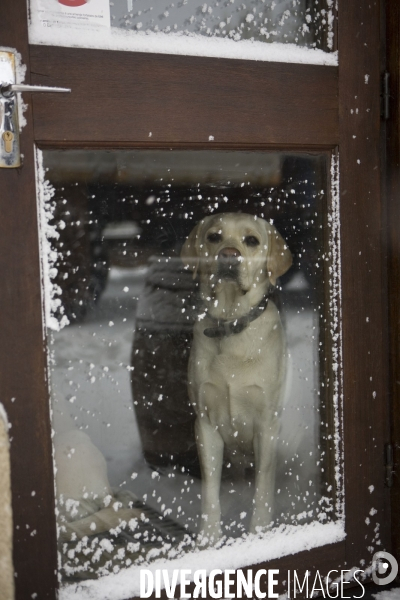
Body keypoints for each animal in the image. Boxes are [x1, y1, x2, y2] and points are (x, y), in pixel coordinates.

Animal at [180, 213, 290, 540]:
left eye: (251, 240)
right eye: (214, 236)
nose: (228, 255)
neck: (231, 325)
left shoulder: (266, 425)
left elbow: (263, 487)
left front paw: (259, 532)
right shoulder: (204, 424)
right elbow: (210, 491)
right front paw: (209, 537)